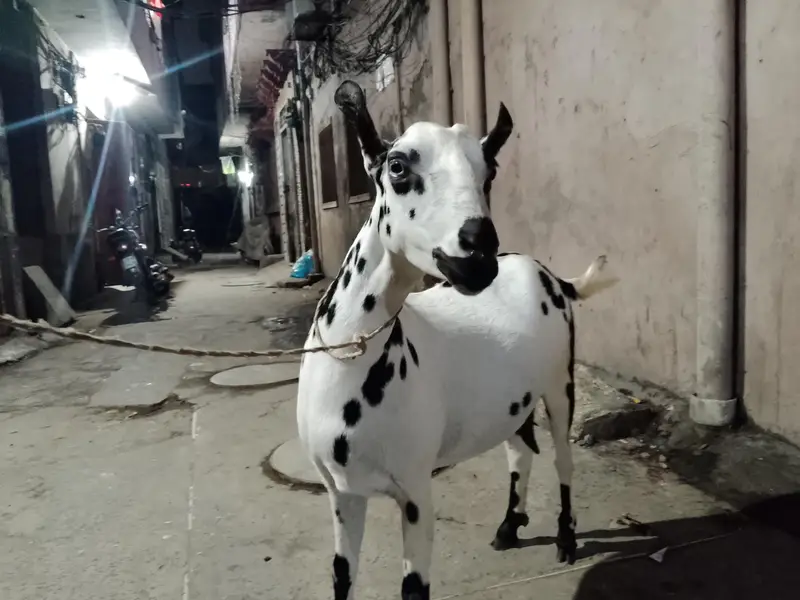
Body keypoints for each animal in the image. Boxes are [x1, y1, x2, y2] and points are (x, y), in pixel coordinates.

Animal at [296, 80, 618, 600]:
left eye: (490, 170)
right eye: (397, 165)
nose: (477, 252)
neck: (351, 358)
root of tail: (552, 277)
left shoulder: (415, 490)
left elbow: (414, 588)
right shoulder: (341, 492)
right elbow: (341, 576)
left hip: (559, 384)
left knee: (563, 461)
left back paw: (566, 538)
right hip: (512, 398)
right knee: (521, 450)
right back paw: (509, 526)